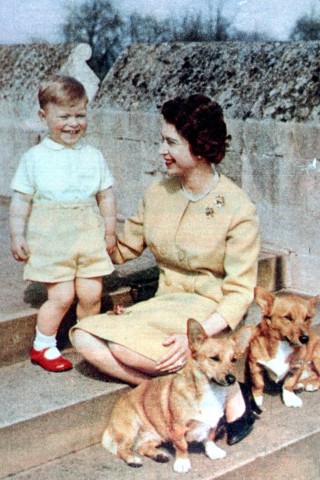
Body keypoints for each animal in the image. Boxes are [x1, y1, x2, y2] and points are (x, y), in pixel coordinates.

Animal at [102, 318, 252, 472]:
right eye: (214, 358)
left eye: (234, 360)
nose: (232, 379)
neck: (209, 391)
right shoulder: (178, 428)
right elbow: (182, 446)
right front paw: (182, 463)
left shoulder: (212, 423)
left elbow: (209, 437)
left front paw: (213, 452)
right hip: (131, 427)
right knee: (121, 449)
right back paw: (133, 459)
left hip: (156, 436)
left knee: (142, 447)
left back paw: (159, 455)